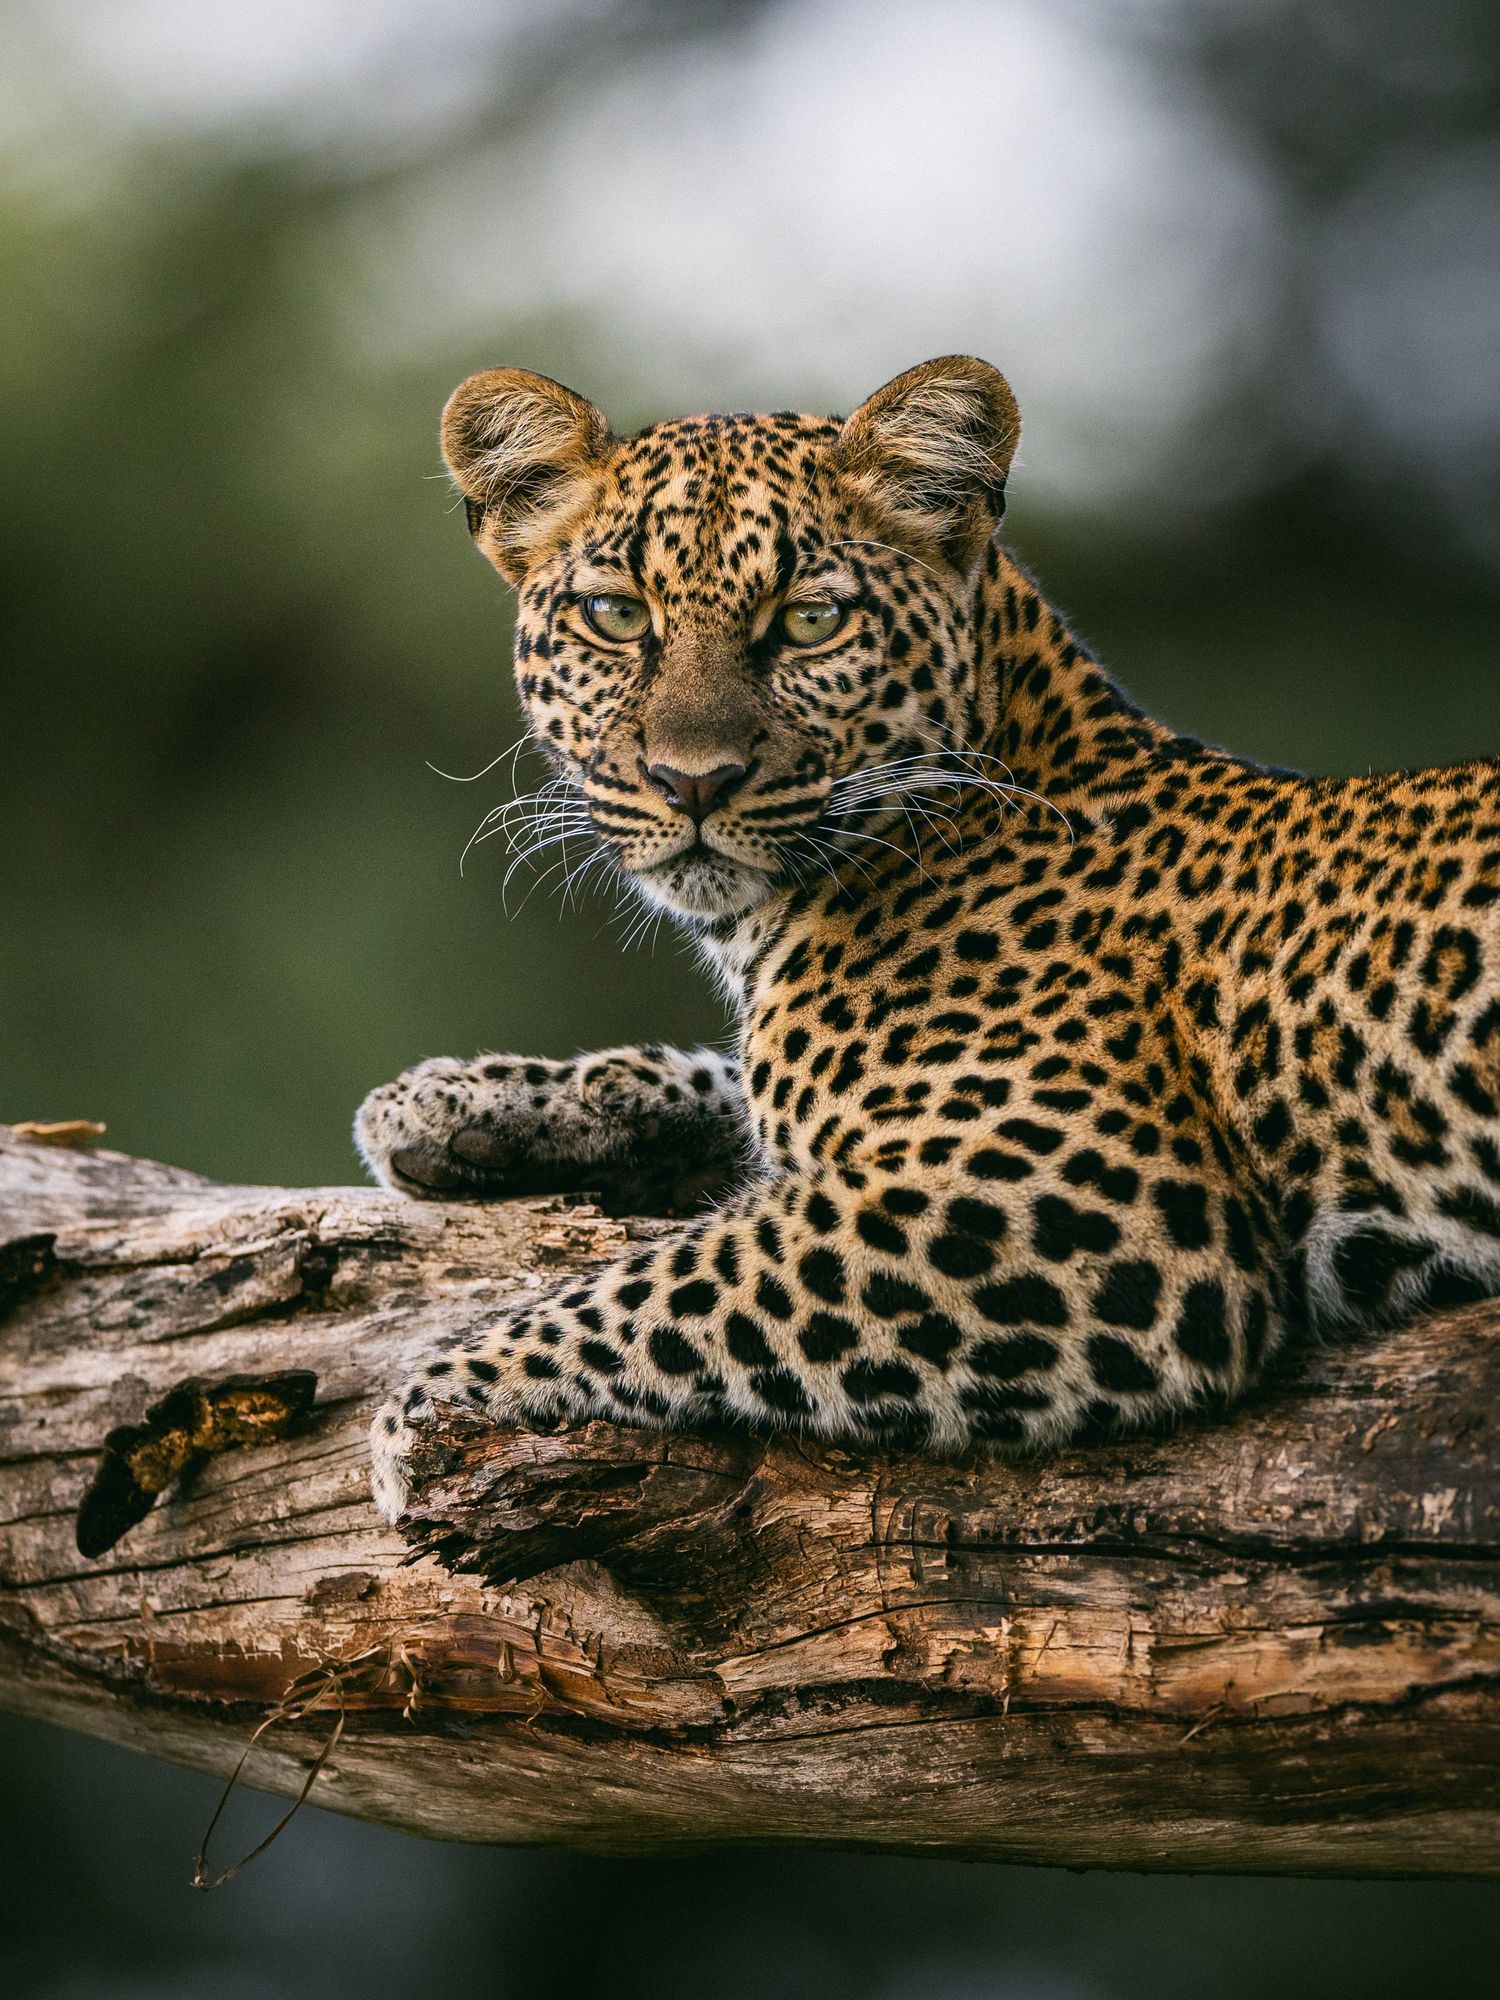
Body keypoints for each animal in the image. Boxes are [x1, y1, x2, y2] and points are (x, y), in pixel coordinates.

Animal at [357, 354, 1500, 1522]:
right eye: (615, 614)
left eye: (811, 620)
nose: (693, 781)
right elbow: (723, 1090)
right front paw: (454, 1104)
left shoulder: (1078, 1197)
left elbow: (670, 1282)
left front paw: (424, 1406)